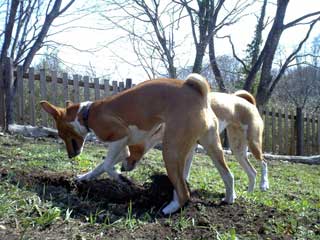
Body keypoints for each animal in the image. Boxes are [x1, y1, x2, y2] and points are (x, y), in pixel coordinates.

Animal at [40, 74, 235, 215]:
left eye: (61, 134)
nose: (70, 156)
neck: (87, 113)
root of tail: (199, 94)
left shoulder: (120, 137)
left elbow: (108, 166)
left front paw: (122, 179)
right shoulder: (123, 150)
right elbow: (101, 166)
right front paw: (84, 177)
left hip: (170, 152)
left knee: (183, 191)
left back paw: (169, 209)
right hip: (210, 147)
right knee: (227, 175)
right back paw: (228, 199)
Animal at [121, 90, 268, 193]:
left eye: (128, 147)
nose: (122, 168)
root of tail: (250, 103)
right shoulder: (191, 148)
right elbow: (185, 171)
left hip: (253, 144)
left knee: (264, 163)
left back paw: (264, 185)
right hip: (238, 150)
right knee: (252, 172)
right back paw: (249, 194)